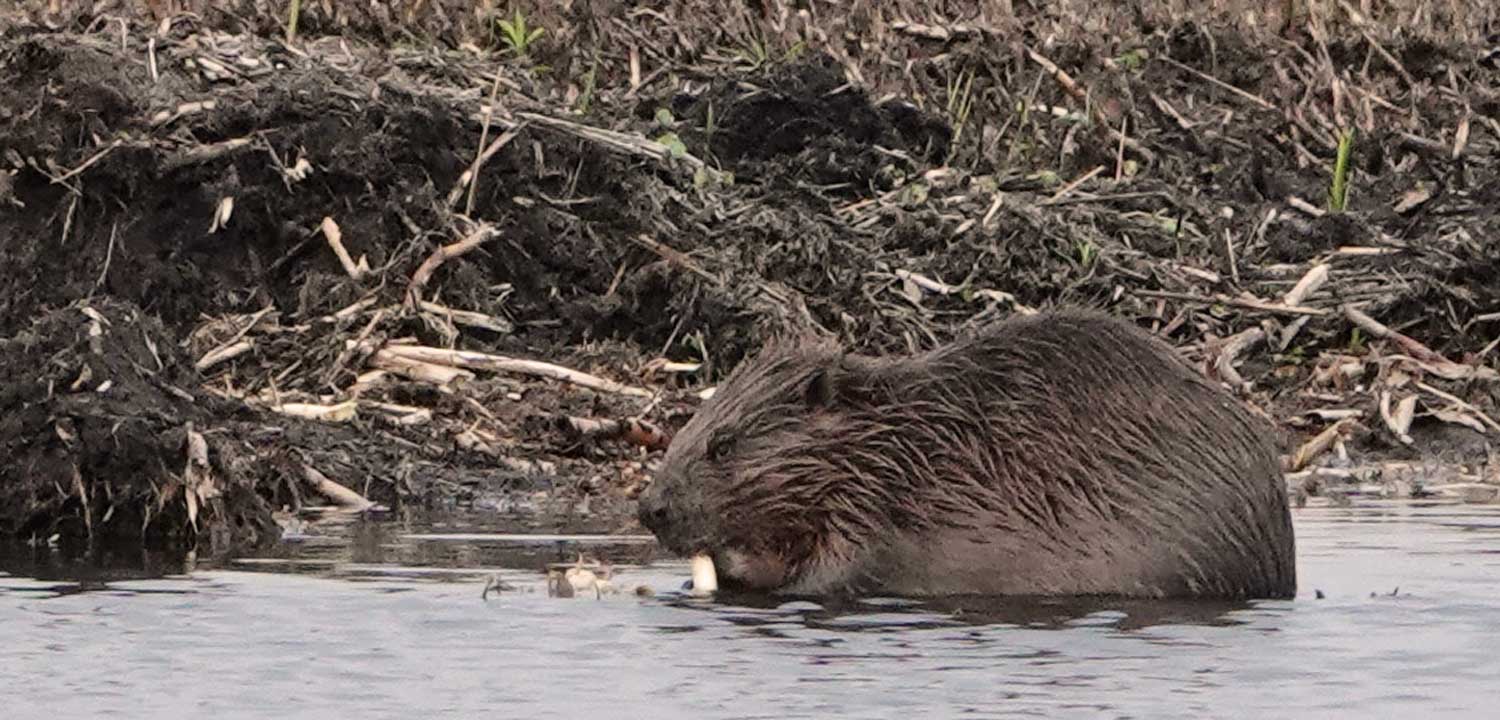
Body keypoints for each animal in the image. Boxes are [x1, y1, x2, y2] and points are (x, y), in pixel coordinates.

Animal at [639, 310, 1296, 603]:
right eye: (688, 430)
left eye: (722, 445)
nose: (650, 509)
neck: (898, 444)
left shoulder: (882, 513)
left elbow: (839, 572)